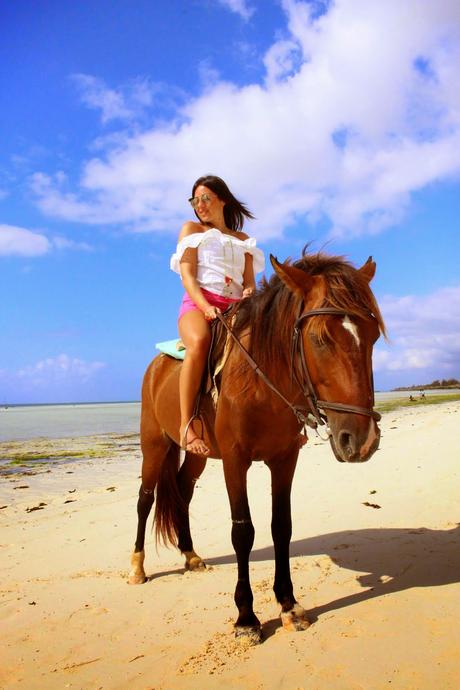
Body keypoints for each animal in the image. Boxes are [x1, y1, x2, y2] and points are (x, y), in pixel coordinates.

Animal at [127, 250, 386, 644]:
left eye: (371, 338)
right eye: (319, 338)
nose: (361, 439)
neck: (263, 381)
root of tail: (157, 365)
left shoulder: (284, 459)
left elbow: (282, 526)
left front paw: (289, 605)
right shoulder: (236, 461)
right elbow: (243, 531)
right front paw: (246, 617)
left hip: (199, 455)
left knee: (183, 491)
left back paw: (190, 555)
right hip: (154, 445)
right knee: (145, 498)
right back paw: (137, 567)